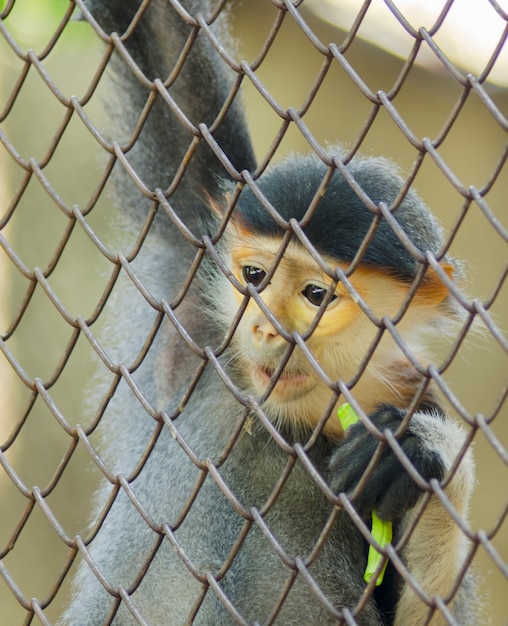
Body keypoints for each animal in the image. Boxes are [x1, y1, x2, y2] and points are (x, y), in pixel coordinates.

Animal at [61, 1, 478, 624]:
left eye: (316, 296)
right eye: (255, 278)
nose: (265, 326)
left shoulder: (414, 394)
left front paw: (418, 451)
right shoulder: (197, 287)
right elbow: (163, 47)